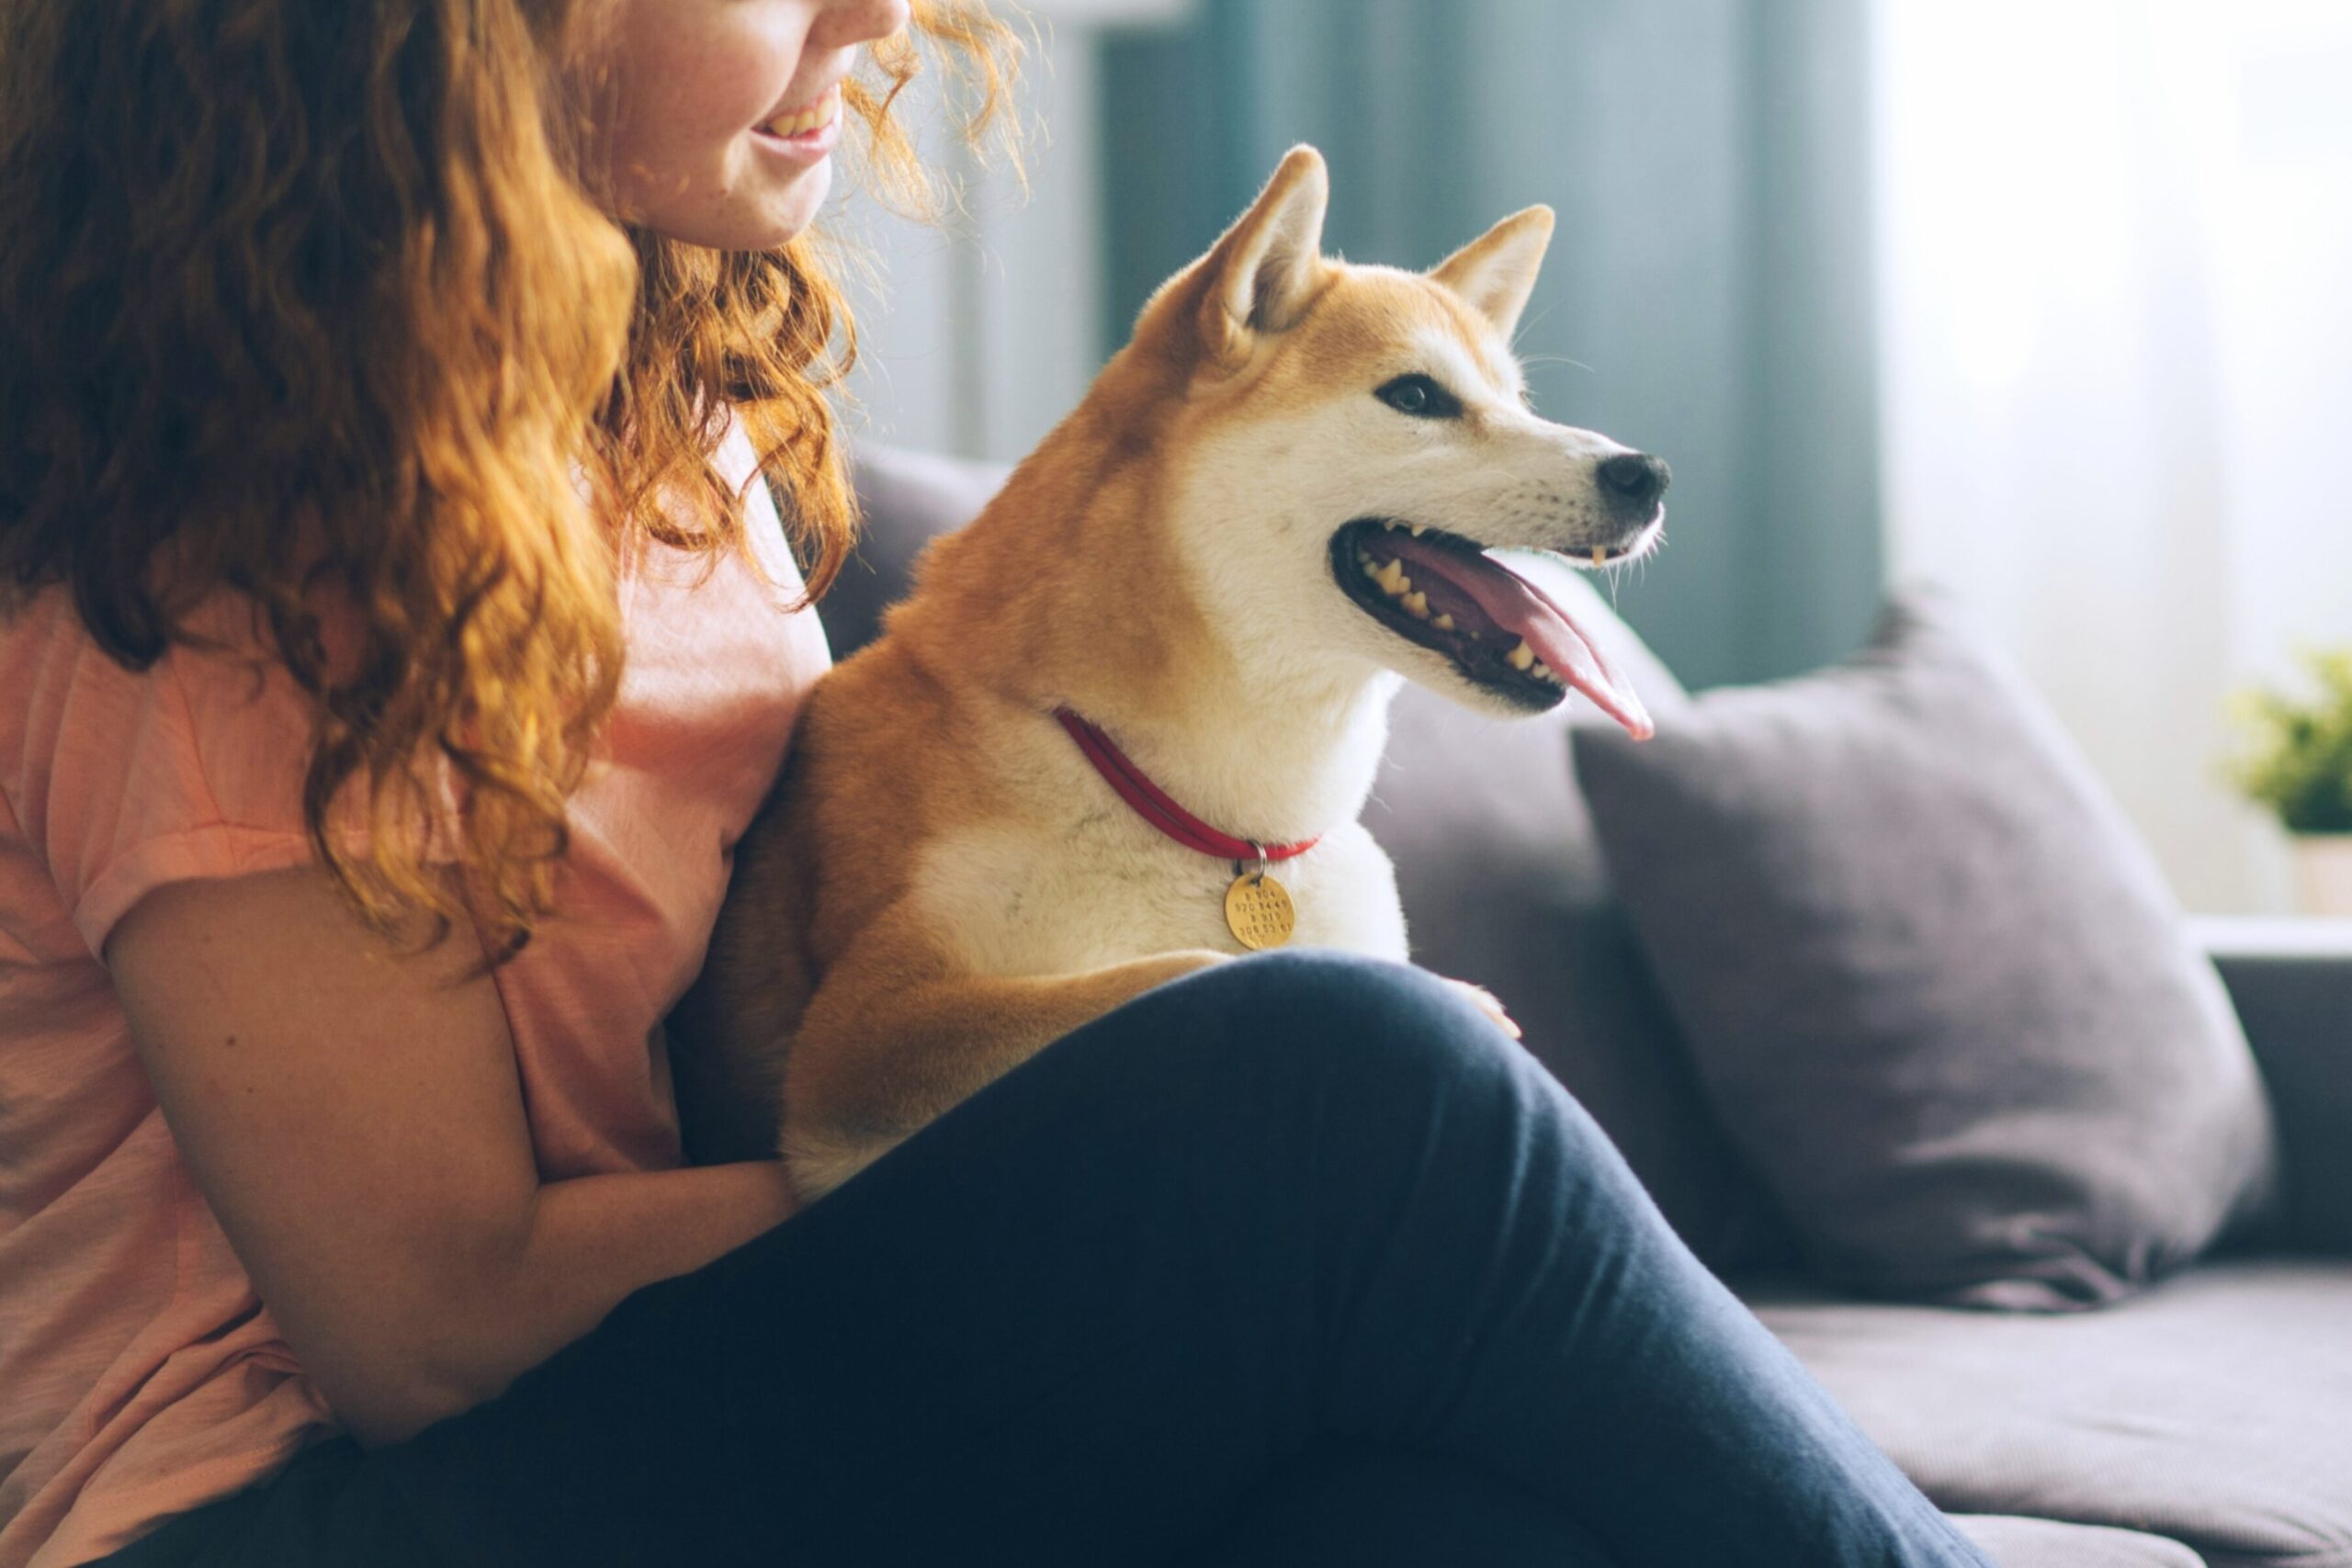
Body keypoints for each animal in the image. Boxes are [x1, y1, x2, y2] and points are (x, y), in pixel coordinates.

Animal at [677, 150, 1674, 1203]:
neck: (1217, 823)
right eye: (1415, 398)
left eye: (1518, 404)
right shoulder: (865, 1034)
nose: (1645, 474)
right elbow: (1184, 974)